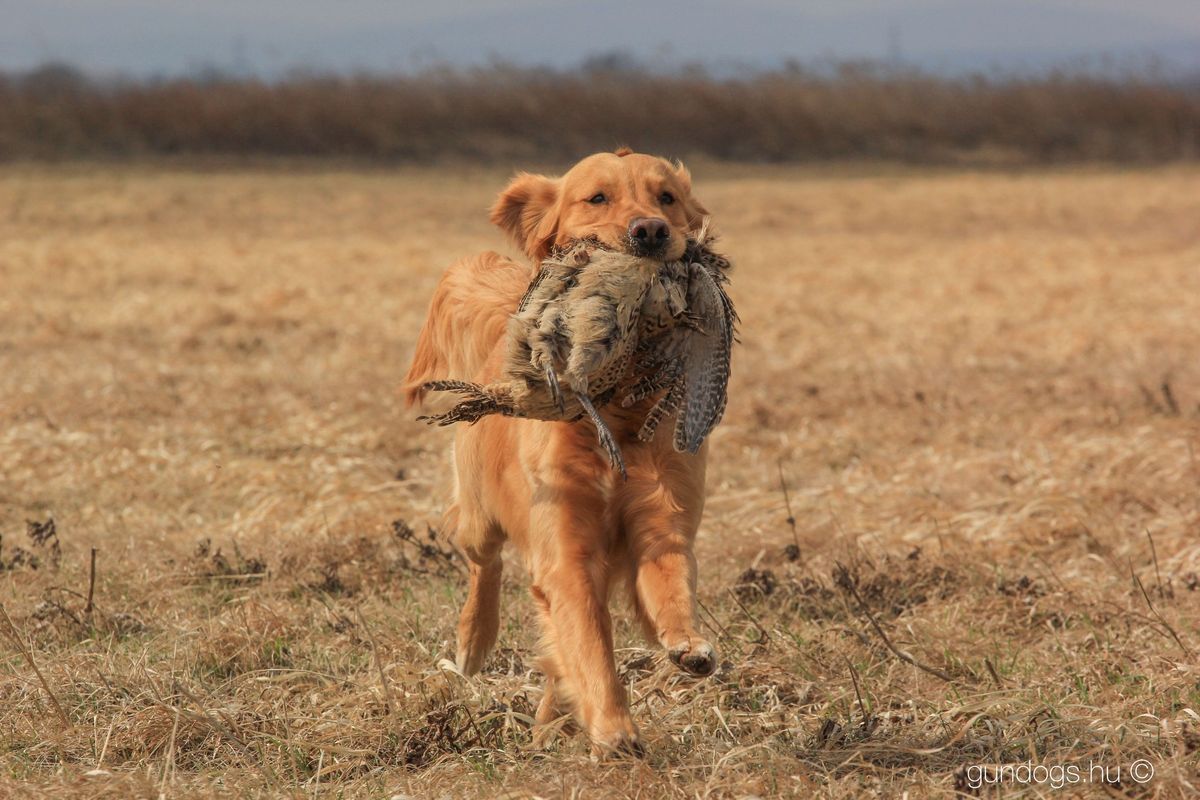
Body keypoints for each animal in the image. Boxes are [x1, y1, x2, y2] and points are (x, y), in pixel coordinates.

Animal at [403, 146, 720, 753]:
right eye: (596, 198)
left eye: (666, 197)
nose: (651, 231)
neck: (616, 410)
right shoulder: (565, 553)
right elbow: (591, 642)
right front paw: (616, 728)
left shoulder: (663, 520)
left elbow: (669, 583)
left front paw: (688, 644)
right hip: (479, 515)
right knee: (483, 566)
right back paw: (473, 645)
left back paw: (551, 717)